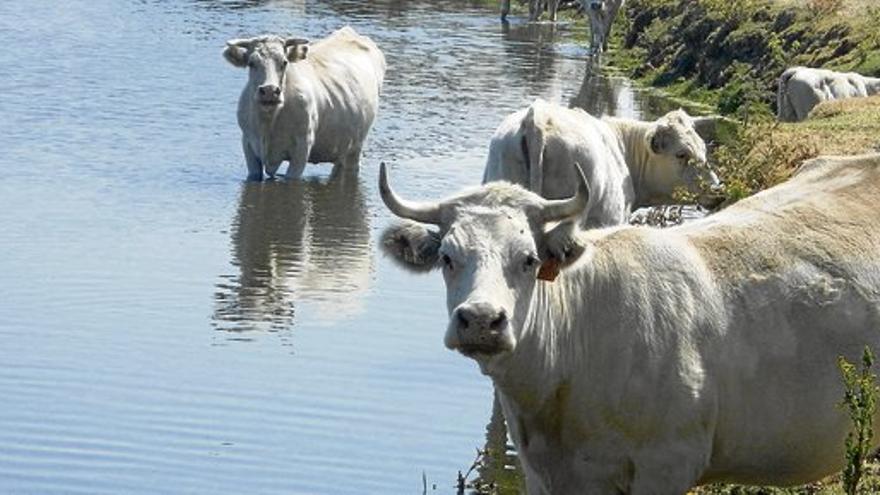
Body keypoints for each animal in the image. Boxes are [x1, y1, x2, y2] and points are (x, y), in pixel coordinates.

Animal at [222, 26, 384, 181]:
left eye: (284, 62)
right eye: (251, 63)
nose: (269, 90)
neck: (268, 121)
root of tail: (349, 32)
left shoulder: (302, 147)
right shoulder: (248, 143)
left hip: (356, 146)